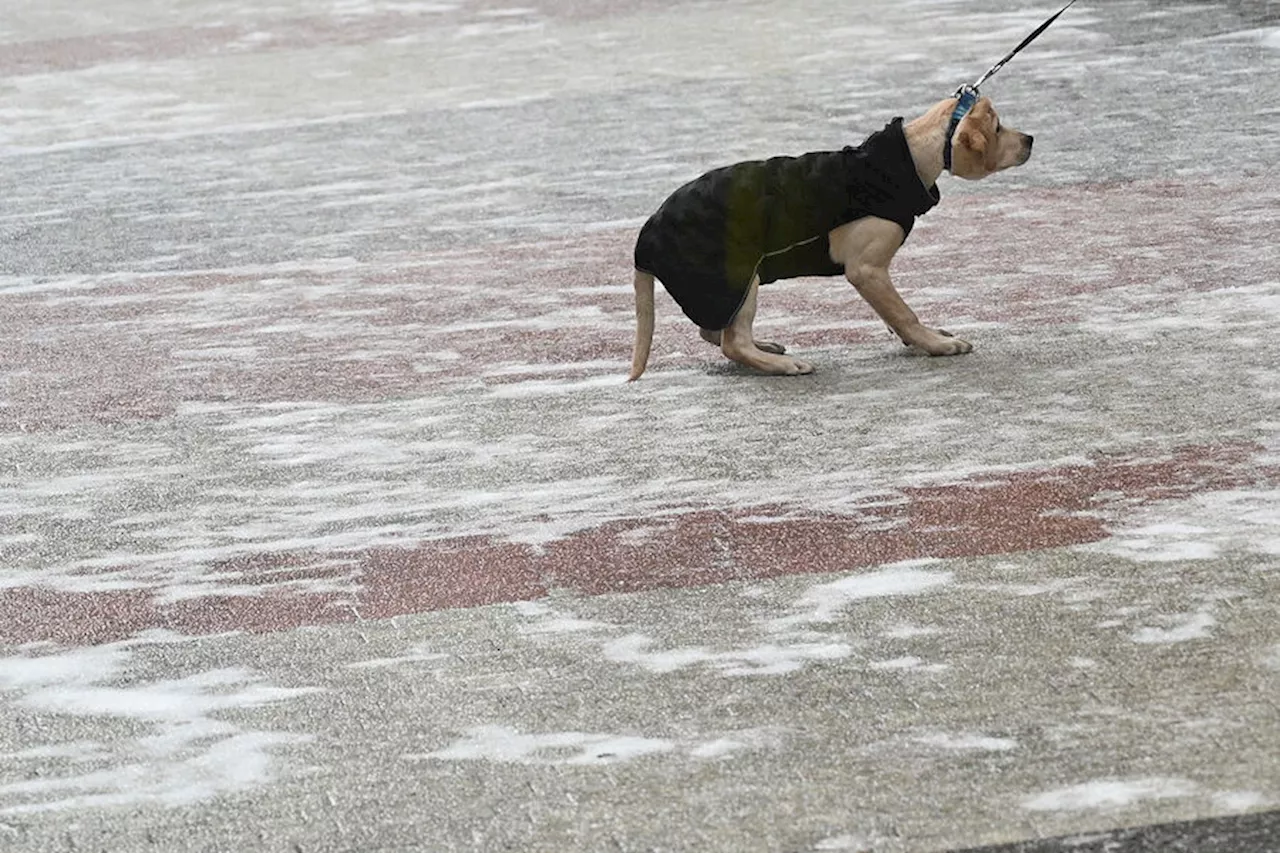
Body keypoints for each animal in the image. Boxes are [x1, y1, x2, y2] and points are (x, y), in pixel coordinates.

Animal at [624, 92, 1034, 379]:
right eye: (998, 129)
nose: (1030, 139)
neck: (908, 158)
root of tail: (647, 235)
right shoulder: (866, 269)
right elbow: (905, 313)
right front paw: (936, 344)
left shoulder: (875, 277)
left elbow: (893, 312)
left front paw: (925, 337)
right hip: (736, 276)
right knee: (731, 343)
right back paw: (781, 366)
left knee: (714, 332)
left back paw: (765, 346)